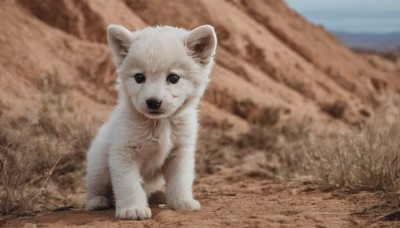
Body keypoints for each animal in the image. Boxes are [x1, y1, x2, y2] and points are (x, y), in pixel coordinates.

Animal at [83, 24, 216, 220]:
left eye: (173, 78)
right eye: (139, 77)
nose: (153, 102)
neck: (159, 124)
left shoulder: (180, 150)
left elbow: (181, 178)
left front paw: (182, 201)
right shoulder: (124, 151)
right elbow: (129, 184)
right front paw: (133, 209)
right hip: (99, 165)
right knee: (95, 188)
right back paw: (97, 201)